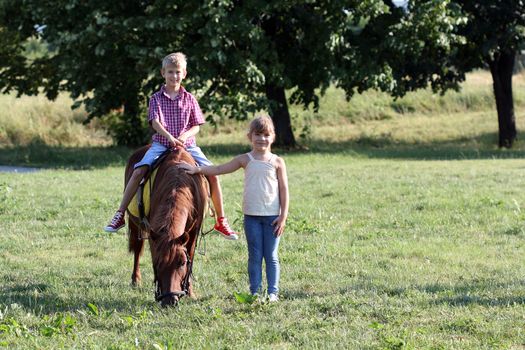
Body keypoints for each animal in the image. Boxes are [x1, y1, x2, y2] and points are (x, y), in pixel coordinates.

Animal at [126, 145, 208, 306]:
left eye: (182, 263)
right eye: (157, 263)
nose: (170, 300)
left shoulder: (193, 233)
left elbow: (191, 257)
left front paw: (190, 293)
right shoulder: (153, 234)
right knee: (137, 250)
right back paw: (135, 280)